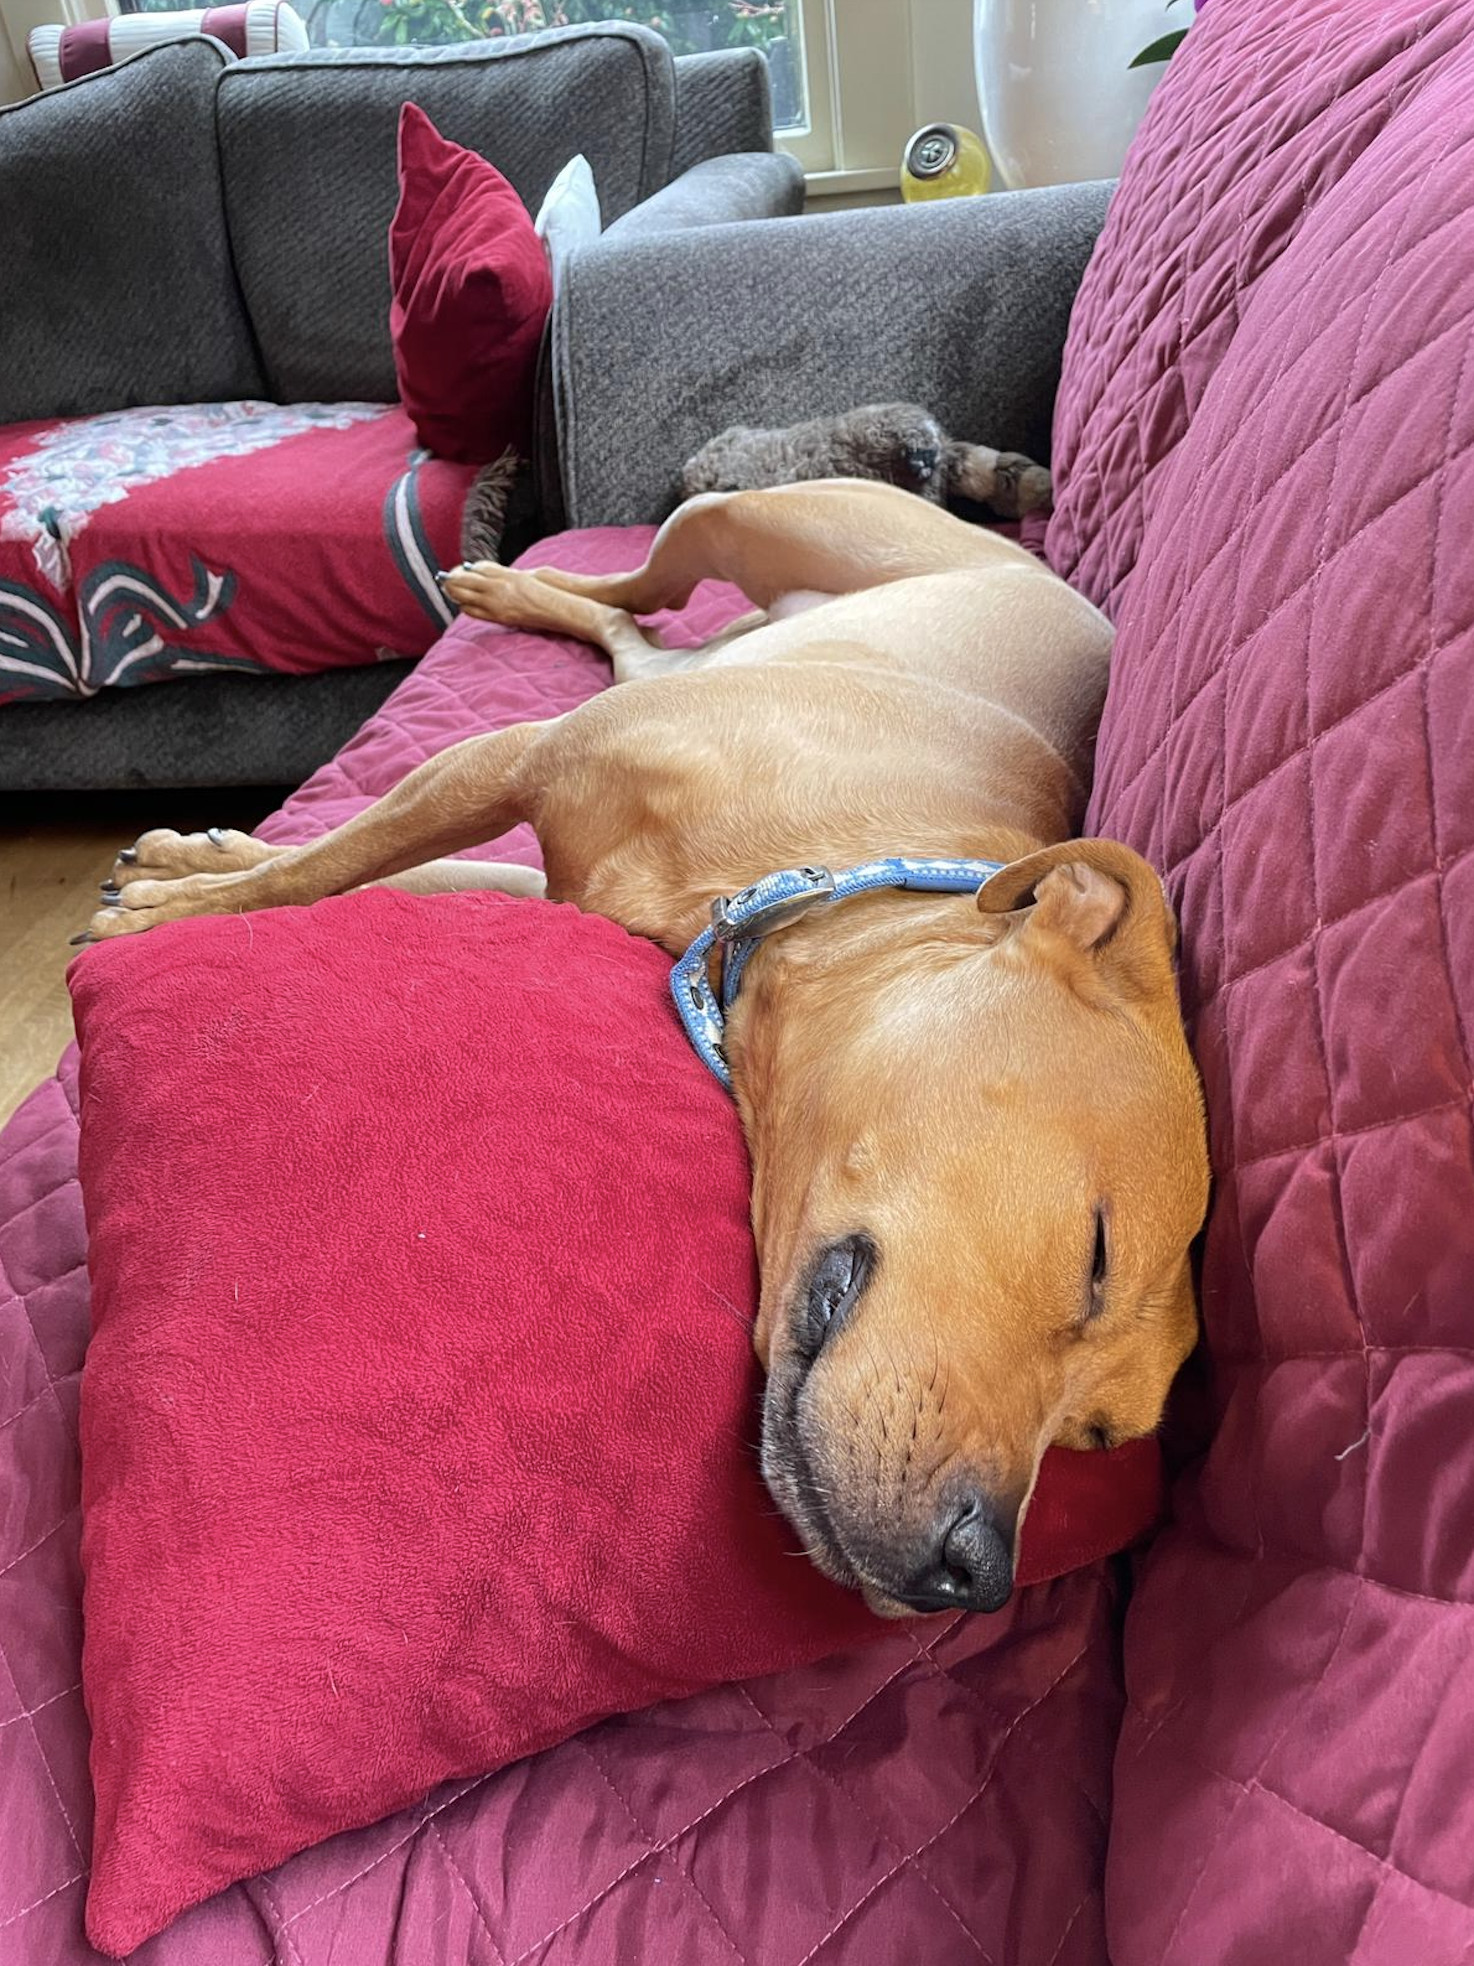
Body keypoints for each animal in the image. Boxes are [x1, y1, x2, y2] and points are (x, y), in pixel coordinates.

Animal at [83, 483, 1210, 1619]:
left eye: (1095, 1435)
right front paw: (183, 906)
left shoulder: (537, 867)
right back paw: (505, 582)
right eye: (1097, 1255)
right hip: (739, 517)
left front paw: (194, 877)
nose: (974, 1577)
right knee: (638, 587)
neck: (837, 869)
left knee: (636, 636)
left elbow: (379, 870)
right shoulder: (516, 757)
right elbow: (322, 867)